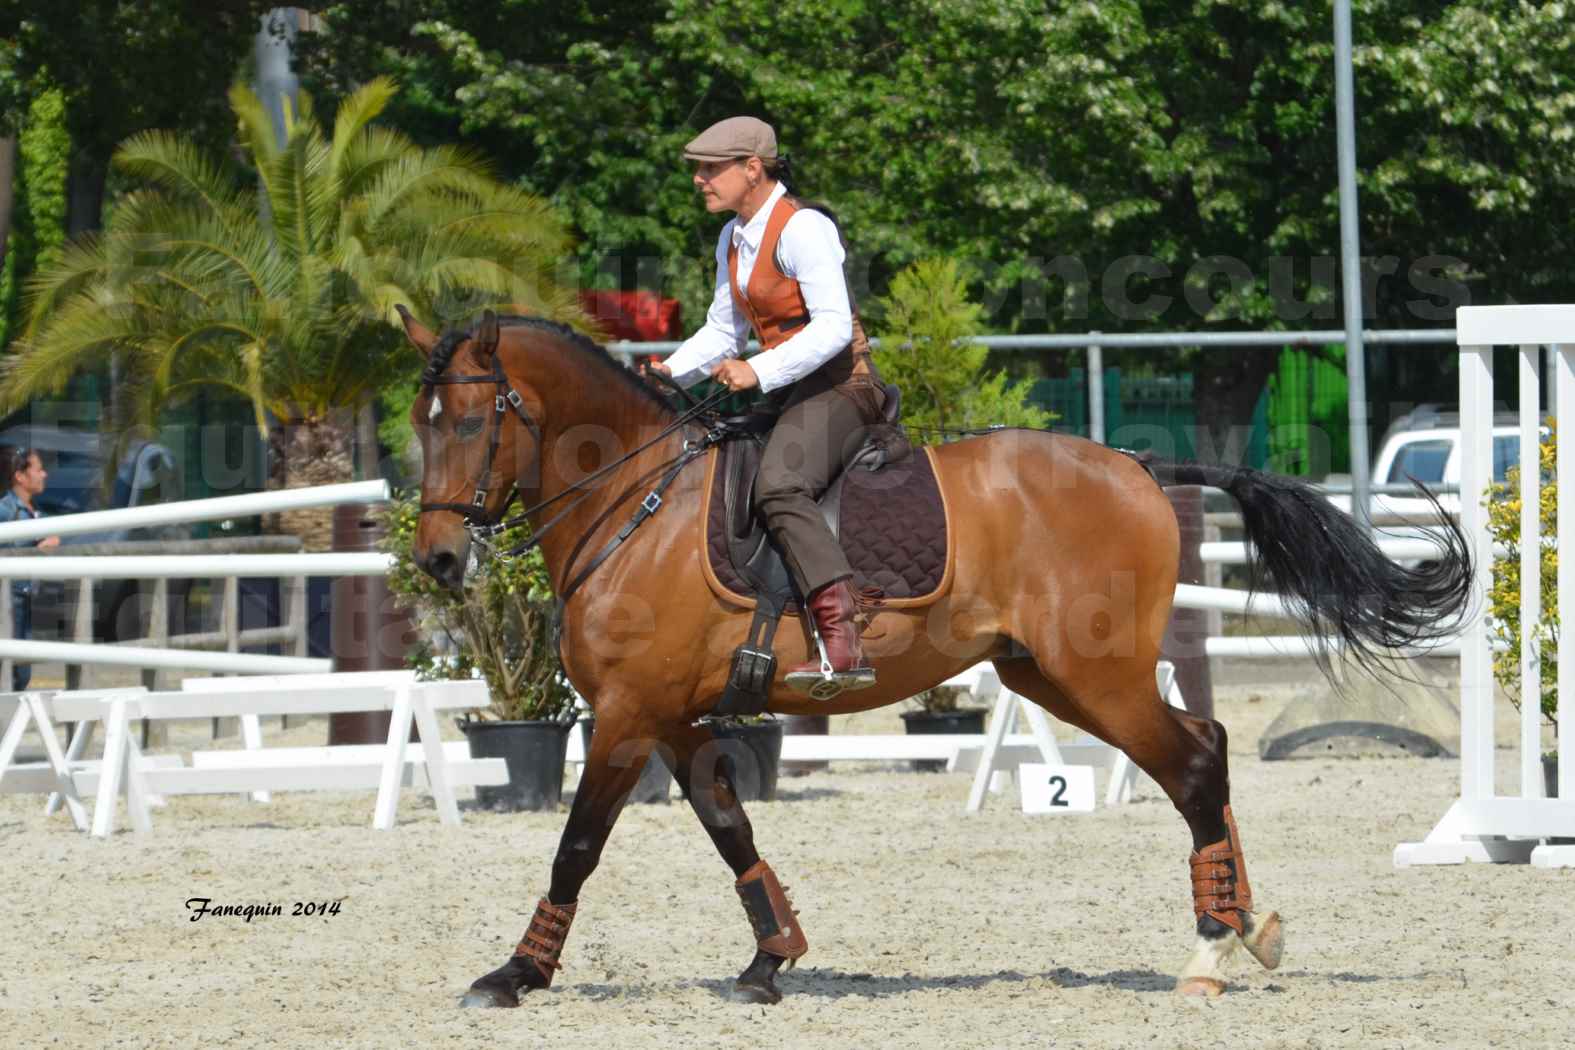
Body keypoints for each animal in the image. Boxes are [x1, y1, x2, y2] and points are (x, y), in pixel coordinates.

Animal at [396, 308, 1474, 1007]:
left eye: (472, 421)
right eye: (418, 423)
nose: (440, 561)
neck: (637, 503)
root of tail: (1136, 464)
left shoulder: (625, 714)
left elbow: (577, 846)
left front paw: (516, 974)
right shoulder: (672, 716)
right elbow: (729, 824)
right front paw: (771, 958)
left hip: (1095, 677)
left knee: (1197, 762)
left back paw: (1211, 950)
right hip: (1051, 676)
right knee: (1198, 752)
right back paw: (1246, 925)